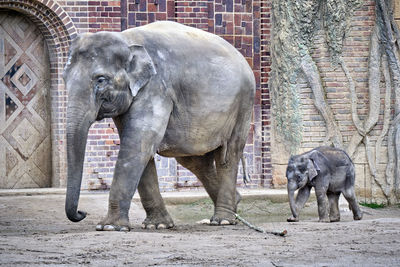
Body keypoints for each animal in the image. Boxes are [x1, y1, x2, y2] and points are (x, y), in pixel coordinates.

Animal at [63, 21, 255, 232]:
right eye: (64, 79)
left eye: (100, 79)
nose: (81, 213)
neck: (126, 40)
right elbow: (140, 146)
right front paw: (158, 225)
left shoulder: (156, 87)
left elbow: (137, 144)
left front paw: (110, 227)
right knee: (195, 161)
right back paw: (235, 204)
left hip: (243, 104)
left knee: (229, 155)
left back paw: (223, 220)